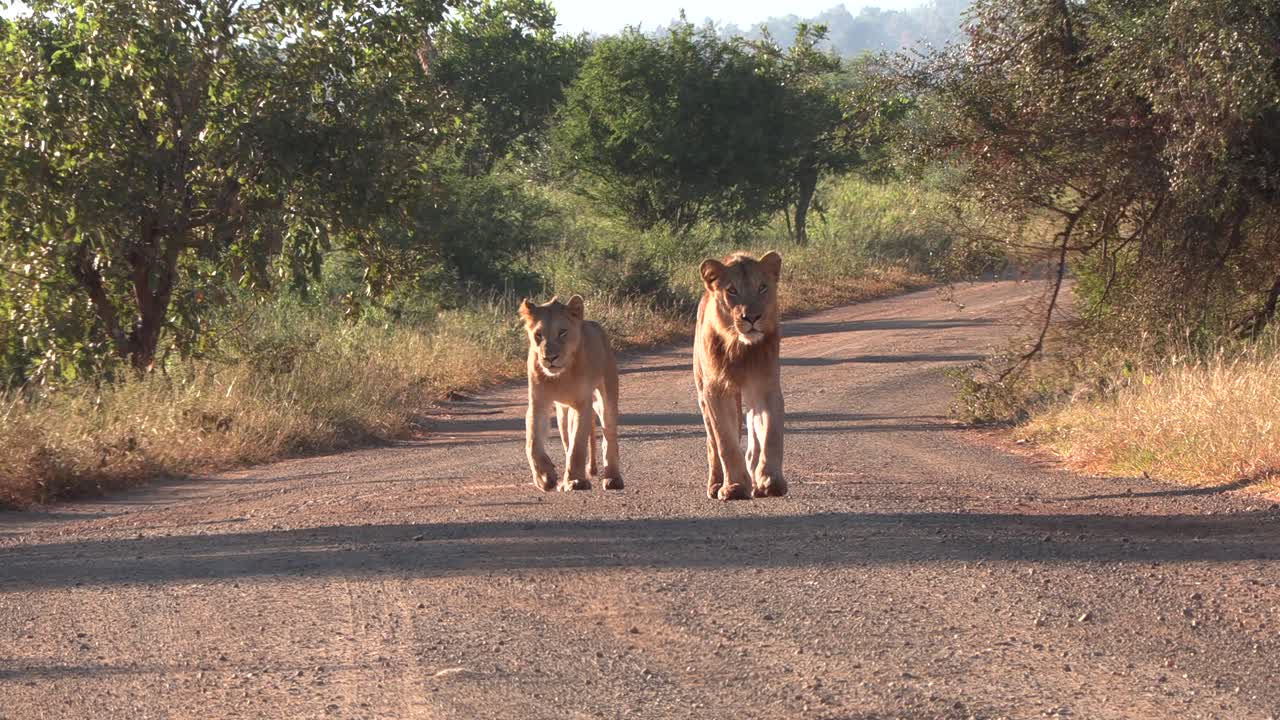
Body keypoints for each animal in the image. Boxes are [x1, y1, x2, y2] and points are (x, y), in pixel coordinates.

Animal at [519, 295, 624, 492]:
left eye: (562, 332)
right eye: (538, 335)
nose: (550, 358)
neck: (561, 376)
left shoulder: (582, 405)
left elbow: (578, 446)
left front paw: (575, 480)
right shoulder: (538, 404)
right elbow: (533, 443)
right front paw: (545, 477)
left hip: (605, 398)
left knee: (609, 435)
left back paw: (613, 478)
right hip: (562, 412)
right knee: (566, 439)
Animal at [693, 251, 786, 501]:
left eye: (762, 287)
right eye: (732, 290)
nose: (751, 317)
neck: (740, 349)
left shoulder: (765, 387)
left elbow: (771, 434)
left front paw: (770, 481)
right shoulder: (715, 391)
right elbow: (725, 441)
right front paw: (734, 487)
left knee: (753, 434)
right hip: (702, 394)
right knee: (712, 442)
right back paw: (716, 484)